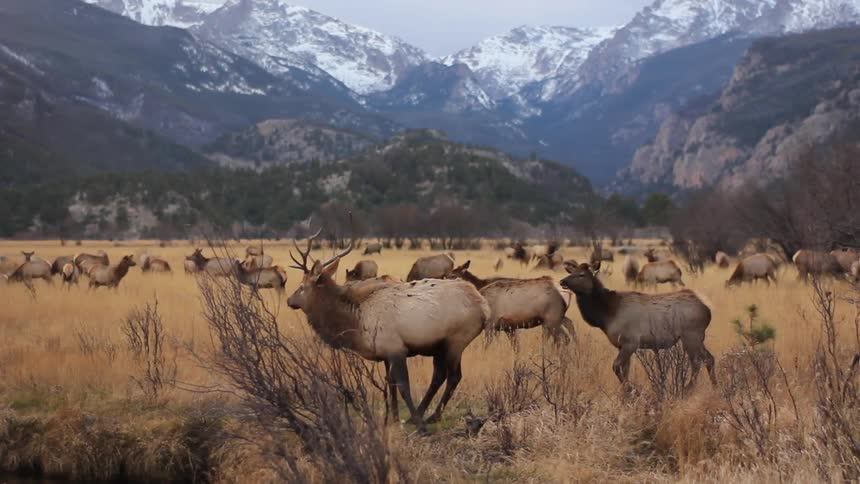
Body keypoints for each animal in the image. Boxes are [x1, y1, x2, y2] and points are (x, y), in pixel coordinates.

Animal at [286, 228, 490, 429]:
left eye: (302, 287)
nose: (289, 300)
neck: (355, 322)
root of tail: (483, 306)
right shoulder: (385, 353)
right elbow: (391, 383)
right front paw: (394, 417)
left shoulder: (396, 349)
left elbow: (403, 386)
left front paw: (418, 425)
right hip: (439, 346)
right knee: (439, 375)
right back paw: (423, 414)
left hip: (456, 341)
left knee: (454, 376)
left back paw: (432, 417)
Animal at [561, 262, 715, 389]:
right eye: (571, 272)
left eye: (581, 274)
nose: (562, 281)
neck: (606, 316)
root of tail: (707, 309)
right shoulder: (621, 345)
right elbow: (625, 371)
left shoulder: (631, 342)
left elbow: (616, 367)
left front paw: (633, 390)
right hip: (698, 338)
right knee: (709, 359)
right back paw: (715, 386)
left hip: (690, 336)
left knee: (696, 362)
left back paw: (686, 390)